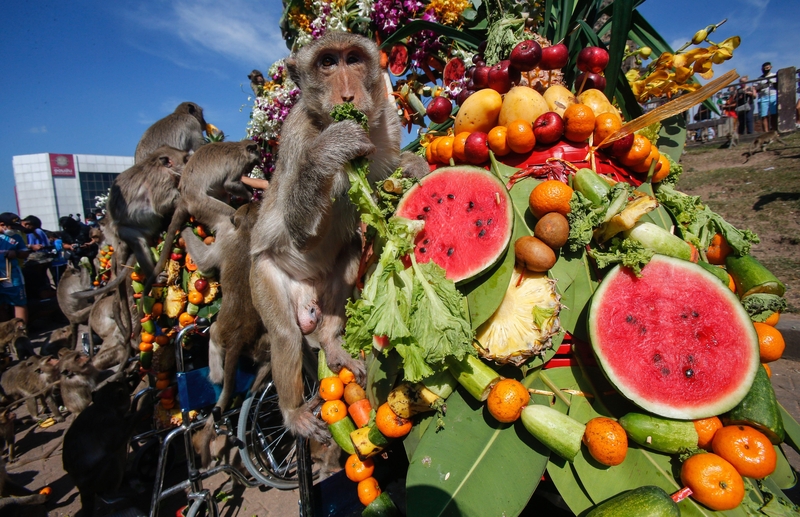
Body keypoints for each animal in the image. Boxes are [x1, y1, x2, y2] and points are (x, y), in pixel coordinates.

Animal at [62, 378, 136, 516]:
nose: (129, 384)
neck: (104, 406)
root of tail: (82, 489)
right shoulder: (107, 422)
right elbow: (118, 440)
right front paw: (142, 410)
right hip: (93, 482)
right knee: (113, 457)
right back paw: (110, 493)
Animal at [250, 31, 428, 440]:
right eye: (327, 62)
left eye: (353, 59)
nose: (347, 95)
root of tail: (305, 288)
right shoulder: (296, 138)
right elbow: (300, 234)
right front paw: (332, 150)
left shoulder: (389, 124)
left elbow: (384, 182)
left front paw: (414, 166)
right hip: (263, 275)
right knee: (285, 334)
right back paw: (293, 413)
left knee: (348, 255)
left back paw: (333, 345)